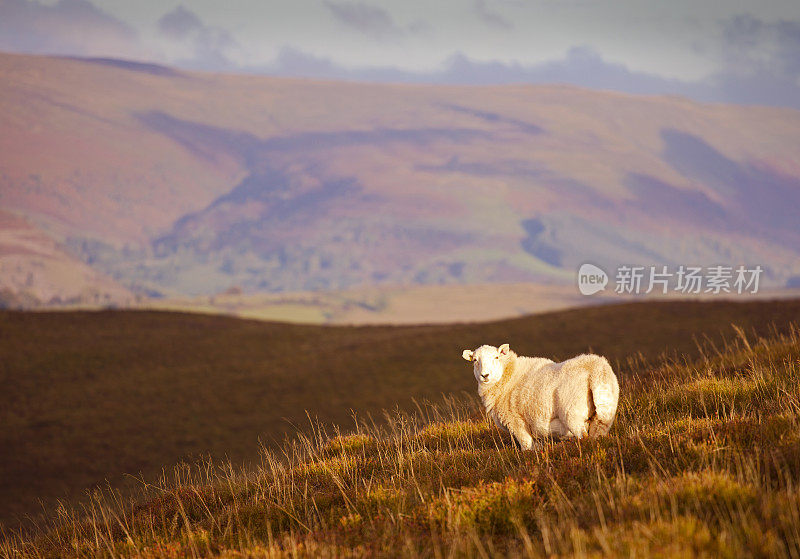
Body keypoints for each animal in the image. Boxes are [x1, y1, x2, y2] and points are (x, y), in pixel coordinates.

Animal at [462, 342, 620, 450]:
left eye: (496, 357)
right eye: (475, 360)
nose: (485, 375)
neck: (507, 377)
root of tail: (596, 369)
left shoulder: (517, 422)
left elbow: (526, 446)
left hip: (573, 414)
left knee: (584, 437)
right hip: (605, 413)